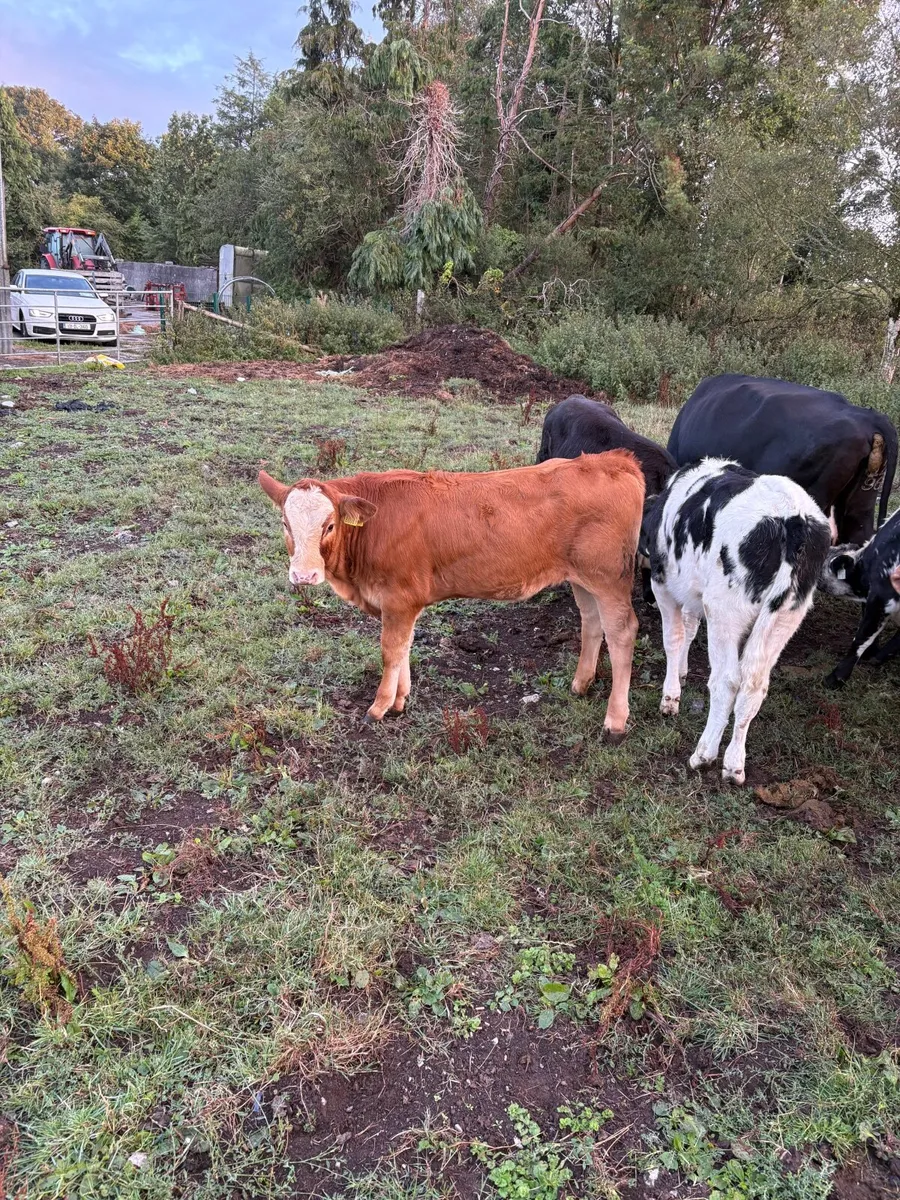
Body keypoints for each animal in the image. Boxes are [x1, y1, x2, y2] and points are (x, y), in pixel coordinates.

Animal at [259, 452, 644, 737]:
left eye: (330, 525)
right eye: (285, 524)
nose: (303, 575)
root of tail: (612, 460)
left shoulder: (398, 598)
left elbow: (390, 650)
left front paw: (379, 707)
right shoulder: (404, 604)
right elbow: (404, 647)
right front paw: (400, 699)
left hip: (609, 578)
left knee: (622, 632)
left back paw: (615, 720)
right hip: (582, 578)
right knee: (592, 622)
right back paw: (581, 684)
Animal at [641, 458, 831, 784]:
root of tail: (791, 517)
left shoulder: (663, 585)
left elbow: (673, 638)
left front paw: (670, 696)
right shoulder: (693, 591)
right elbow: (689, 629)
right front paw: (682, 673)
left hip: (725, 612)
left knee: (727, 681)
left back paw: (704, 755)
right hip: (785, 617)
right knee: (754, 686)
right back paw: (734, 764)